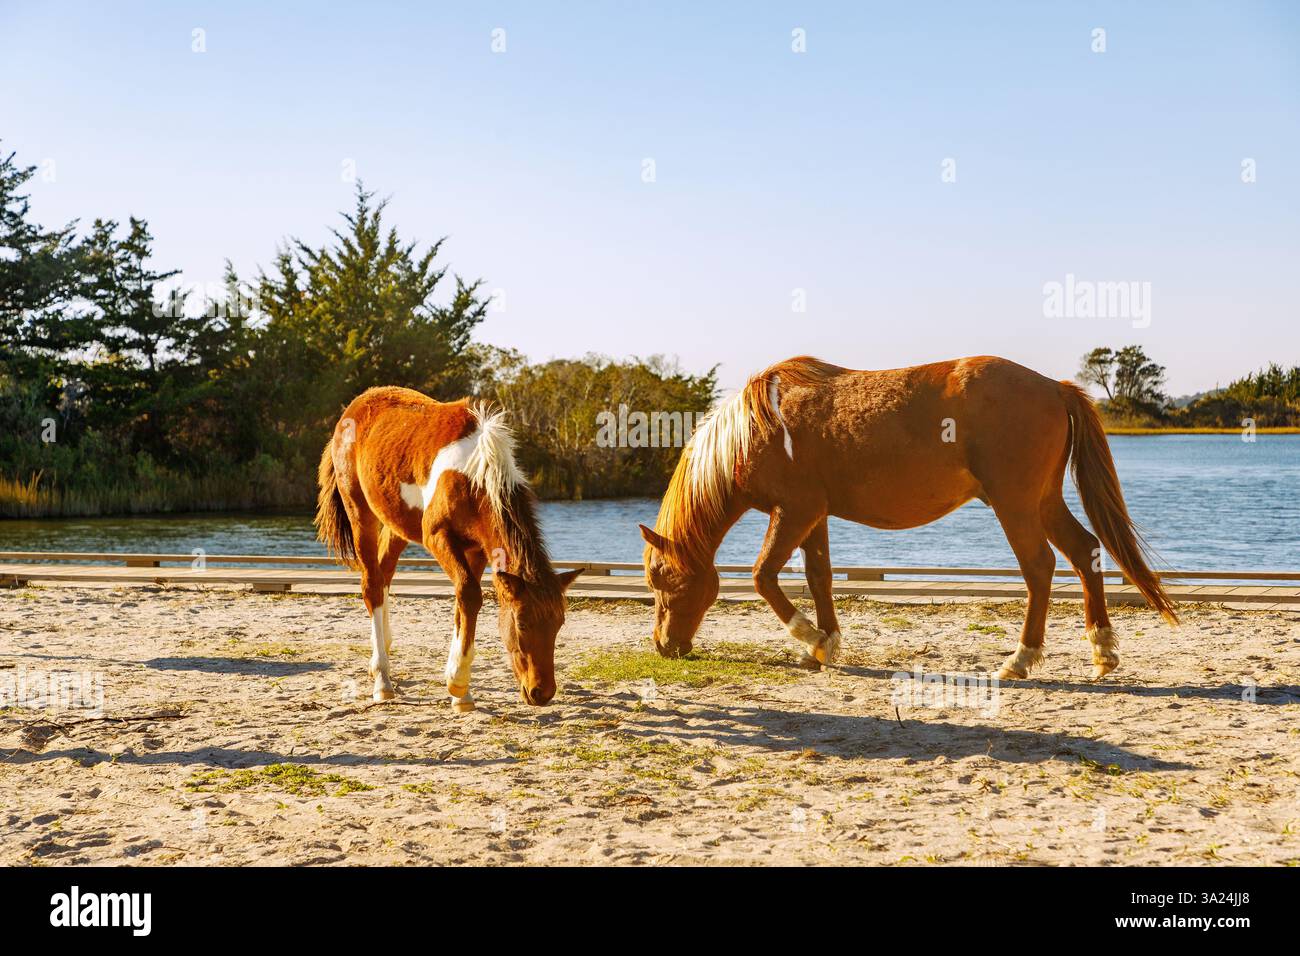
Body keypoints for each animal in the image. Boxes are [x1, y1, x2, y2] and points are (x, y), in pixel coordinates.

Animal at [315, 387, 581, 710]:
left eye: (559, 624)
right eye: (523, 625)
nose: (542, 693)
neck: (475, 477)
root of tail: (353, 408)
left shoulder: (477, 549)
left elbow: (463, 602)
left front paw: (461, 693)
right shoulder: (438, 537)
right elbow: (468, 593)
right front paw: (457, 683)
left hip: (396, 524)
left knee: (384, 573)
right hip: (360, 513)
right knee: (372, 585)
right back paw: (382, 679)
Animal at [640, 355, 1177, 680]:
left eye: (662, 579)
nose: (664, 646)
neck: (761, 425)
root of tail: (1053, 387)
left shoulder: (793, 512)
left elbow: (763, 576)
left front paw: (810, 637)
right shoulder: (815, 517)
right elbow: (819, 577)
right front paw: (824, 645)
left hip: (1016, 505)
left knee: (1040, 568)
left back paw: (1020, 660)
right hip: (1042, 502)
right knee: (1086, 551)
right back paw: (1102, 652)